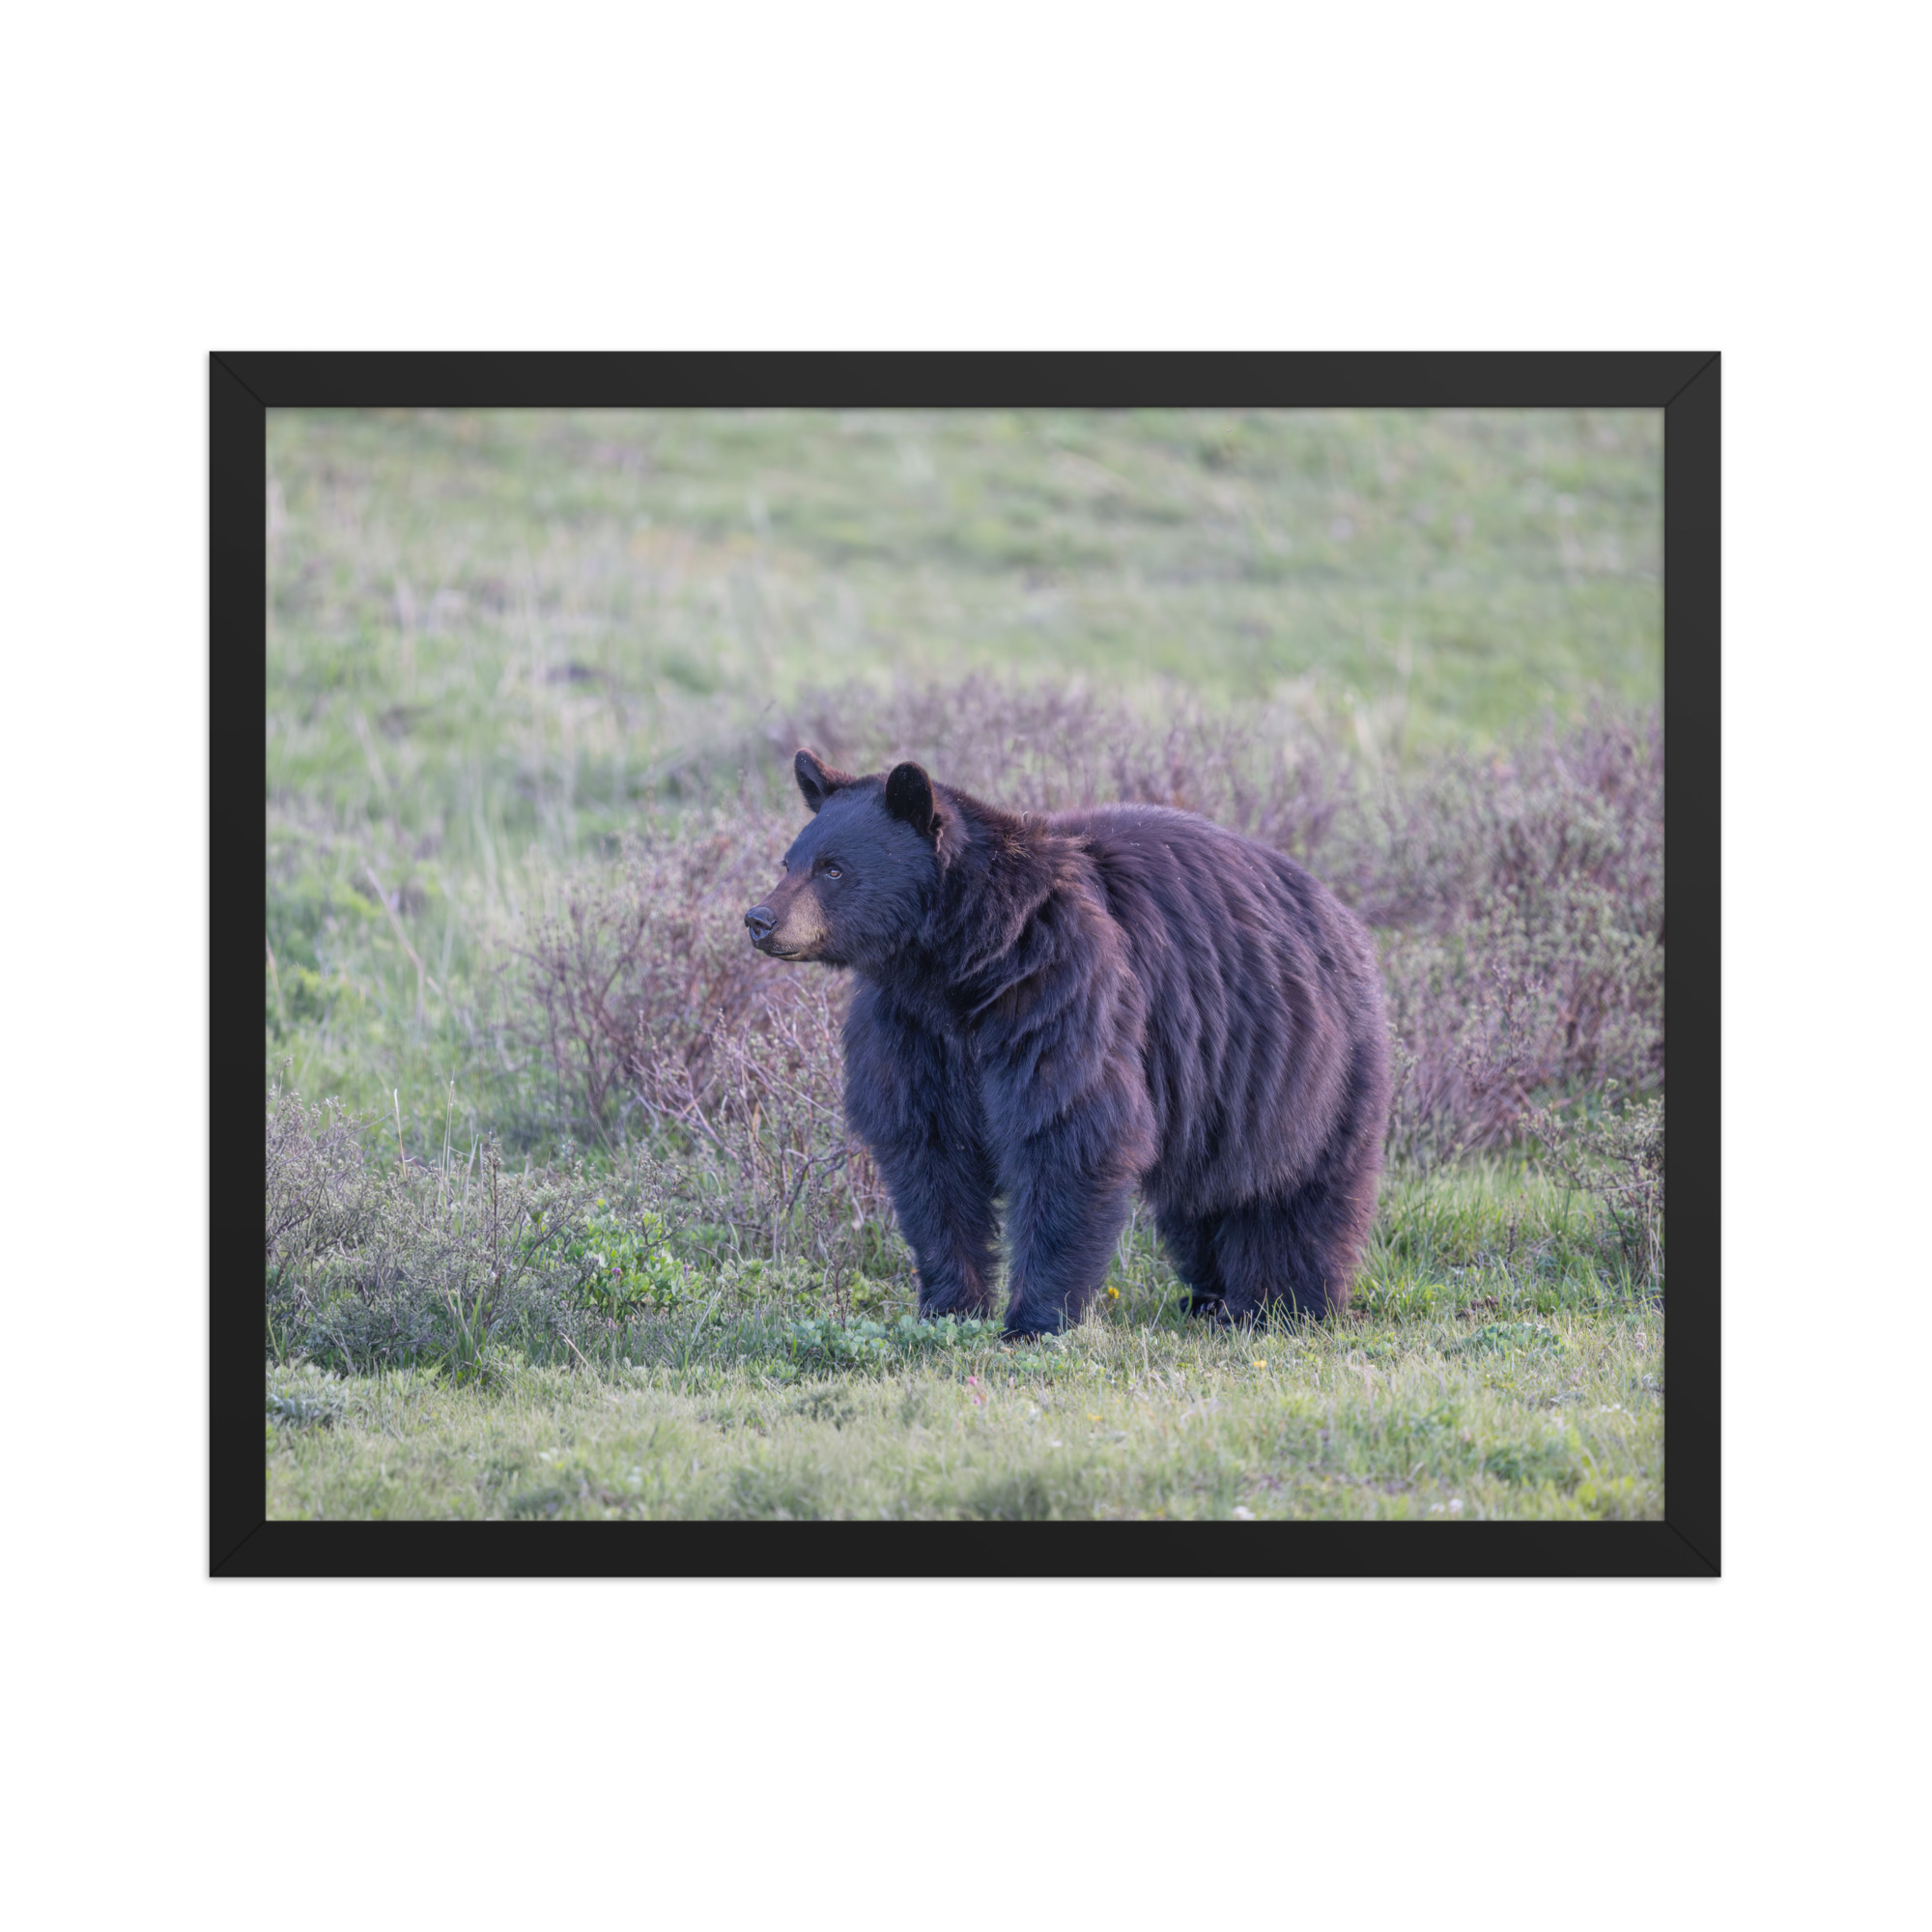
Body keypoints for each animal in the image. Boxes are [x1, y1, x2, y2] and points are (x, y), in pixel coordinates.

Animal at [744, 748, 1390, 1337]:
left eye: (833, 869)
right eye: (789, 860)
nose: (760, 919)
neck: (961, 964)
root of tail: (1341, 913)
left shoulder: (1061, 989)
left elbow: (1067, 1130)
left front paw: (1034, 1320)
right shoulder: (911, 1028)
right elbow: (929, 1152)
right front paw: (949, 1307)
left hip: (1305, 1063)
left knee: (1297, 1189)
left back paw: (1280, 1304)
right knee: (1204, 1196)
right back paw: (1209, 1297)